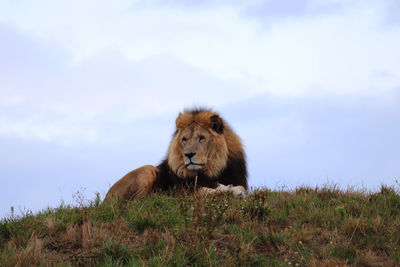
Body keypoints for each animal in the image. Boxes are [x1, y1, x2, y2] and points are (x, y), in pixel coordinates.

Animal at [104, 108, 247, 202]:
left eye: (201, 138)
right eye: (184, 139)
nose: (189, 154)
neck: (212, 169)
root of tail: (105, 200)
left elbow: (237, 187)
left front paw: (234, 189)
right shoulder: (185, 192)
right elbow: (206, 191)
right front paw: (230, 190)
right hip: (147, 170)